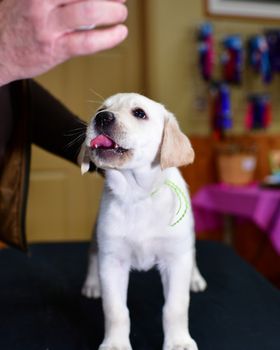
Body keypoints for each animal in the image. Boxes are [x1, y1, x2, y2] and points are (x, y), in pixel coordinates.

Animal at [79, 92, 206, 350]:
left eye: (139, 113)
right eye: (100, 109)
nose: (102, 117)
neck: (136, 195)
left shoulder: (175, 259)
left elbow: (175, 308)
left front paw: (178, 342)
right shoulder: (113, 261)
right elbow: (116, 311)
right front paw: (115, 344)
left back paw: (195, 278)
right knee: (93, 252)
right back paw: (92, 283)